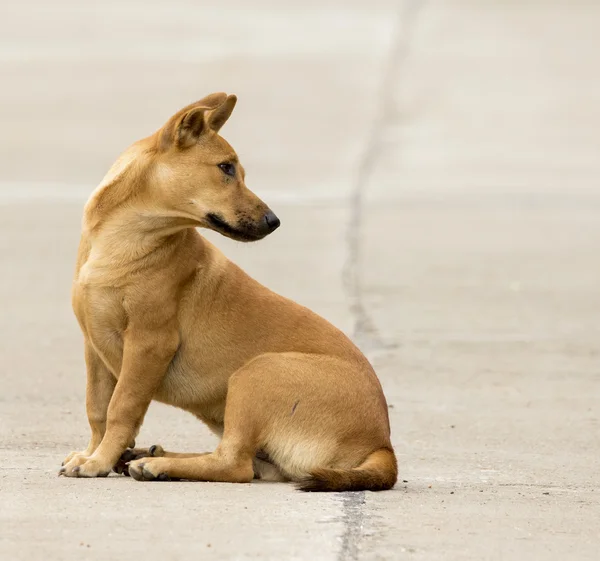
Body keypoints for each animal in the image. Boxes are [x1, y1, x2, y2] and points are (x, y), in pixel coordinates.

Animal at [59, 93, 398, 490]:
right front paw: (94, 454)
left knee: (234, 465)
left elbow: (121, 408)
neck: (127, 238)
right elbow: (97, 408)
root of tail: (382, 446)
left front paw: (98, 461)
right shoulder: (95, 346)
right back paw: (150, 456)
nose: (273, 221)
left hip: (257, 373)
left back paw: (157, 464)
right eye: (226, 168)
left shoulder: (149, 344)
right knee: (248, 464)